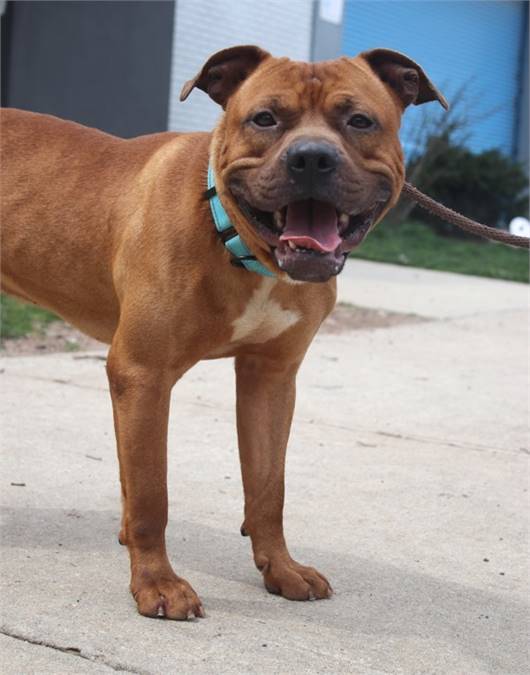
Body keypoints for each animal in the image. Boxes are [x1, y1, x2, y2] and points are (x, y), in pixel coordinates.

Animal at [1, 45, 446, 620]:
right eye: (265, 118)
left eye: (360, 121)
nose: (311, 159)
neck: (237, 242)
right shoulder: (143, 374)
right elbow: (151, 493)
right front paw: (157, 583)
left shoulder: (271, 379)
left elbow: (268, 487)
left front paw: (281, 568)